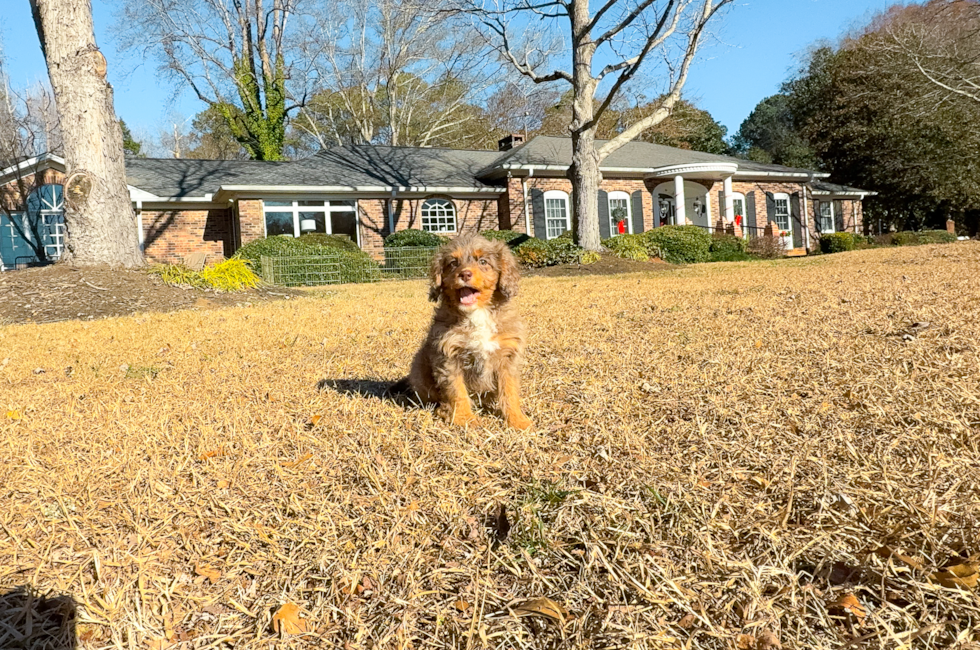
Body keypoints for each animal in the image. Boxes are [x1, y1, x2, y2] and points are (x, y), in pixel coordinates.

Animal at [402, 230, 532, 428]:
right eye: (453, 263)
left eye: (483, 261)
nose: (464, 274)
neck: (477, 314)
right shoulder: (448, 355)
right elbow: (457, 390)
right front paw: (465, 419)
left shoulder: (507, 356)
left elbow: (509, 391)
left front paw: (517, 420)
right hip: (419, 367)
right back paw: (444, 409)